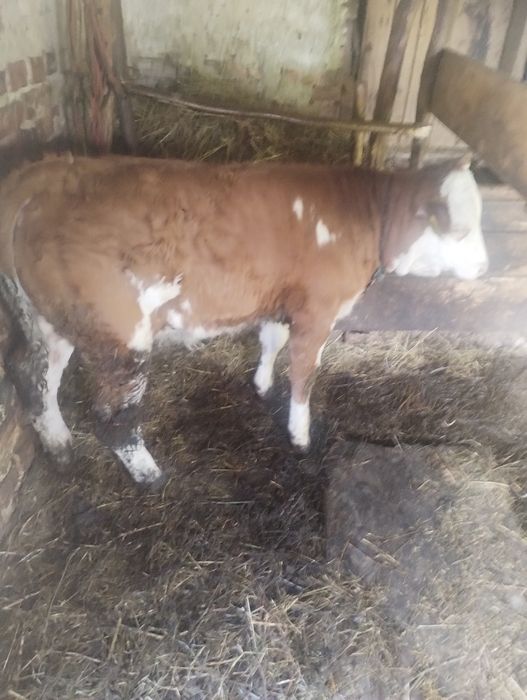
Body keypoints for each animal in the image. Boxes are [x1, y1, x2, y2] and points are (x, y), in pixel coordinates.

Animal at [0, 154, 488, 486]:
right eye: (460, 229)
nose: (485, 268)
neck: (367, 217)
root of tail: (45, 171)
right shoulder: (317, 310)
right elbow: (305, 373)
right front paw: (299, 434)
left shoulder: (279, 300)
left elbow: (271, 341)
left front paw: (260, 384)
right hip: (121, 337)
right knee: (111, 415)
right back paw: (148, 474)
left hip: (50, 322)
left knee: (34, 375)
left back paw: (60, 445)